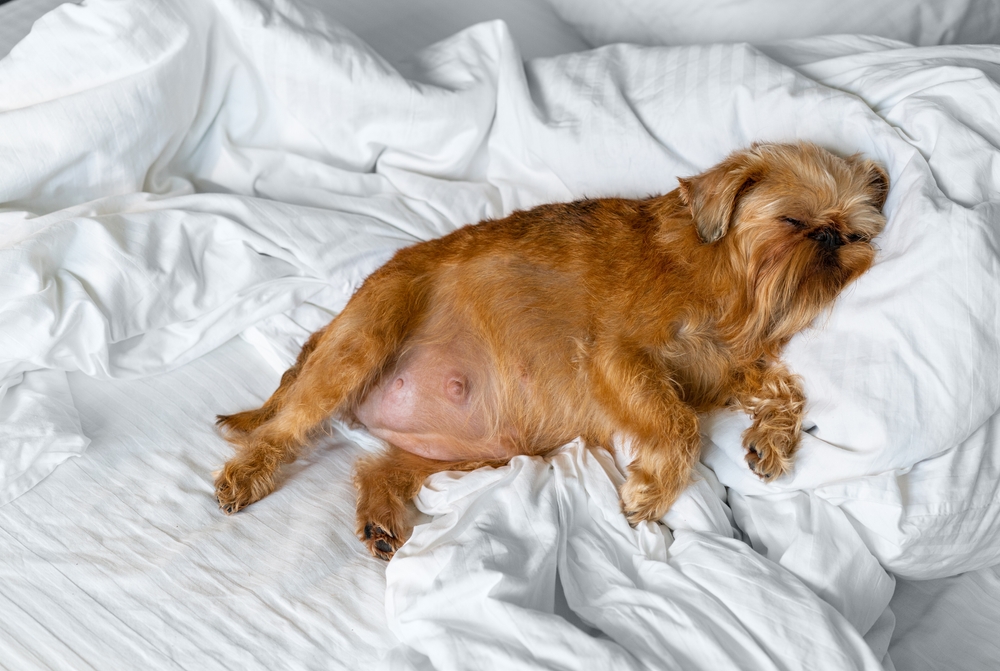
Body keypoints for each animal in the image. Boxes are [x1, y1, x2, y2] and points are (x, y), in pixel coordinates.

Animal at [215, 142, 888, 560]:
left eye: (856, 233)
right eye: (794, 222)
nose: (833, 239)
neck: (732, 281)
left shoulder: (725, 371)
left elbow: (783, 387)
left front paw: (772, 438)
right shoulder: (616, 357)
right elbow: (679, 425)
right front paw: (649, 493)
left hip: (464, 456)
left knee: (378, 467)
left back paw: (380, 517)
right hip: (363, 341)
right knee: (283, 426)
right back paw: (246, 474)